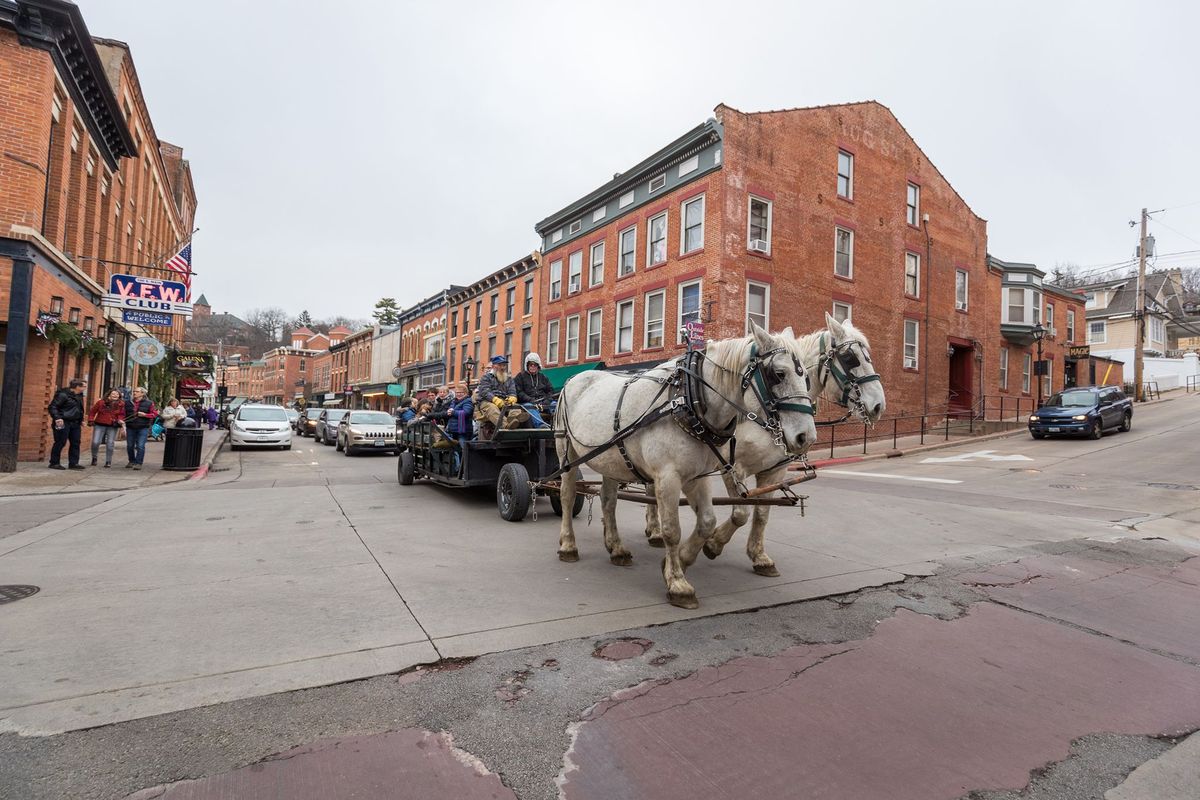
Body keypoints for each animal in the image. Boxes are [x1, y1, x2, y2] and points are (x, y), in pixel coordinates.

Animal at [556, 323, 820, 606]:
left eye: (806, 377)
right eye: (778, 374)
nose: (806, 437)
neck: (688, 400)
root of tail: (574, 379)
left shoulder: (698, 475)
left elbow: (707, 522)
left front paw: (683, 559)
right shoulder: (668, 477)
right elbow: (672, 530)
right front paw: (678, 584)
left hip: (612, 460)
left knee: (608, 501)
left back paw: (616, 548)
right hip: (567, 454)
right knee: (567, 495)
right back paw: (568, 545)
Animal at [643, 311, 888, 575]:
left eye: (868, 357)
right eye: (850, 358)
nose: (878, 405)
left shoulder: (775, 469)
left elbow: (761, 512)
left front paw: (759, 556)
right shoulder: (732, 467)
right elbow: (741, 512)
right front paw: (714, 543)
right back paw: (655, 531)